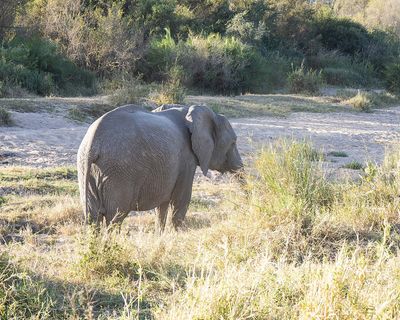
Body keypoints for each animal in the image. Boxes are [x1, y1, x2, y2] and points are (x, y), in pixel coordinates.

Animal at [76, 105, 242, 232]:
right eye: (233, 142)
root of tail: (93, 143)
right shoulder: (187, 159)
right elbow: (181, 201)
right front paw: (176, 236)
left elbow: (162, 206)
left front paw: (160, 235)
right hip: (119, 171)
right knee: (115, 217)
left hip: (87, 168)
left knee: (93, 217)